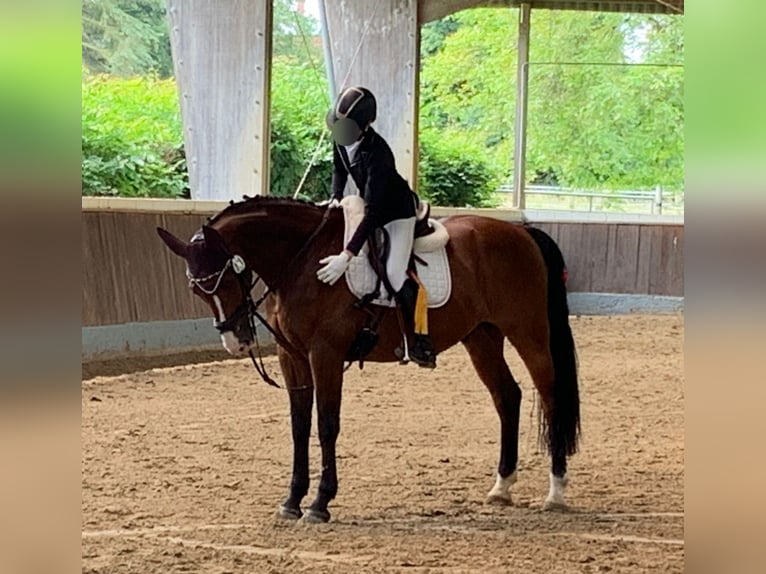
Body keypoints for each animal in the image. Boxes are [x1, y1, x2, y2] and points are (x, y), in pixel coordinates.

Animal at [160, 198, 584, 528]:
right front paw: (292, 501)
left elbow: (326, 425)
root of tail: (522, 233)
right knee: (506, 397)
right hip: (481, 336)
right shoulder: (292, 357)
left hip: (527, 332)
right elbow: (299, 427)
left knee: (550, 396)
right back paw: (501, 487)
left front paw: (320, 503)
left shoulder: (325, 355)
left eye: (228, 276)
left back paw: (556, 492)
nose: (236, 341)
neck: (303, 260)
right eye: (198, 290)